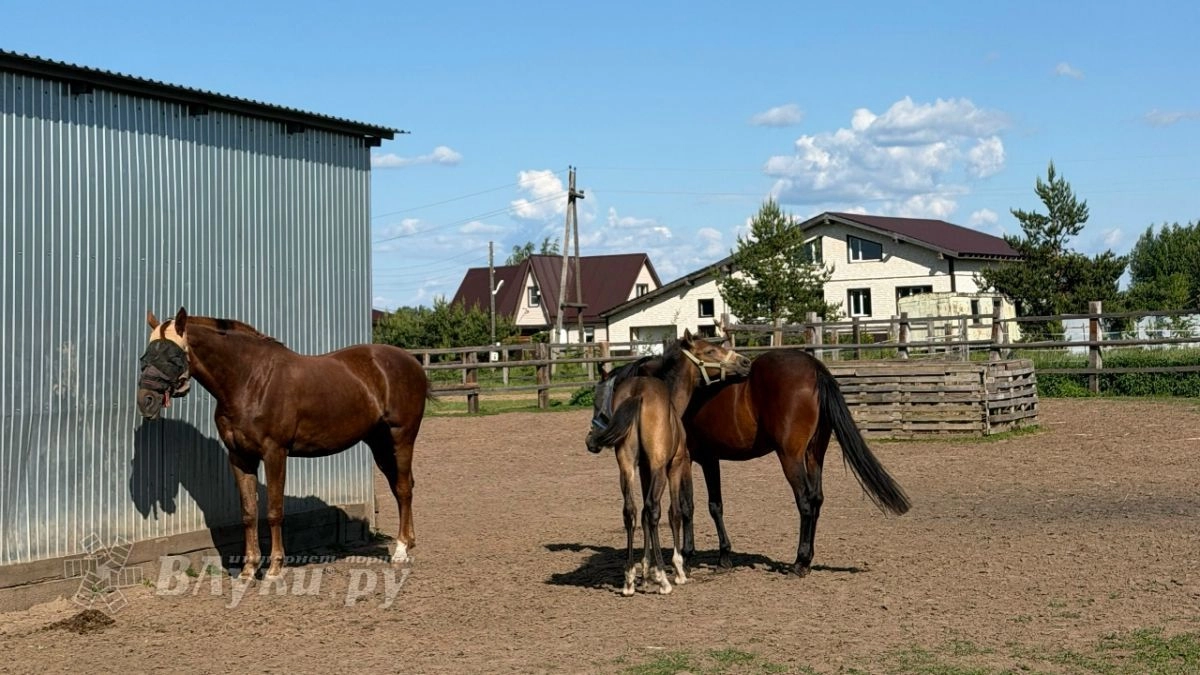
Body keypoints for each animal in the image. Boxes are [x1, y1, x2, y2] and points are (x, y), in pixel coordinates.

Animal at [136, 307, 430, 580]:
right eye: (145, 357)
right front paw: (248, 570)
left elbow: (274, 510)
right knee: (402, 486)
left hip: (401, 438)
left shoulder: (274, 452)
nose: (146, 401)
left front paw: (275, 568)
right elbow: (248, 512)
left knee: (404, 489)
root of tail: (411, 361)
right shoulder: (240, 457)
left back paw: (401, 551)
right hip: (379, 443)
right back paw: (408, 543)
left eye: (174, 357)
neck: (250, 381)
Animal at [585, 333, 752, 594]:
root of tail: (638, 394)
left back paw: (629, 580)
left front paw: (645, 571)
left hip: (627, 468)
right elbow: (677, 511)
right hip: (661, 468)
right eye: (710, 351)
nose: (744, 362)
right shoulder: (676, 464)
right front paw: (676, 568)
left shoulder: (644, 470)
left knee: (631, 511)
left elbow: (644, 516)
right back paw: (664, 579)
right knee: (654, 509)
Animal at [605, 333, 911, 577]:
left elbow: (688, 506)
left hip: (790, 456)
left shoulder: (689, 460)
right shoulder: (710, 460)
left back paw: (799, 562)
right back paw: (807, 558)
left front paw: (689, 556)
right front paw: (724, 556)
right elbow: (715, 506)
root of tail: (814, 367)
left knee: (805, 502)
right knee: (816, 499)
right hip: (815, 454)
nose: (744, 364)